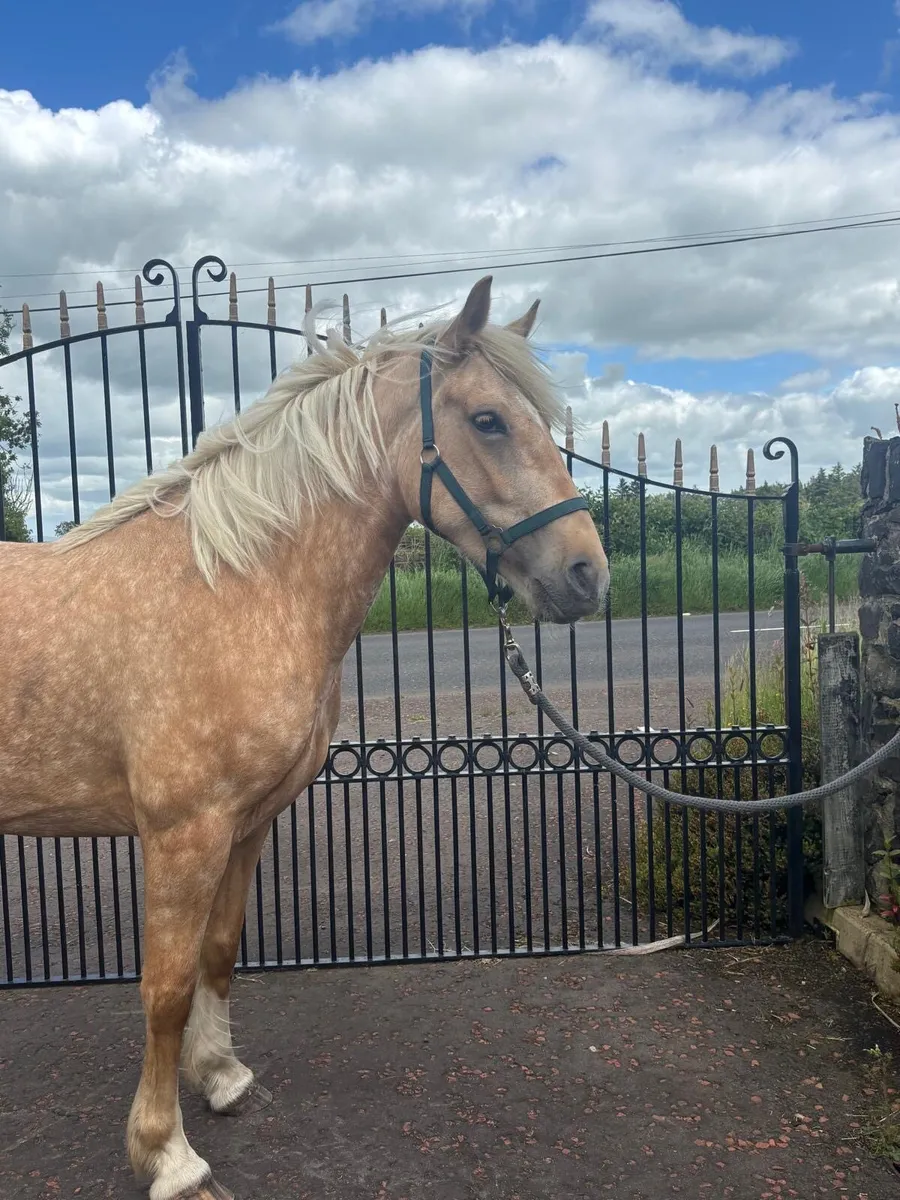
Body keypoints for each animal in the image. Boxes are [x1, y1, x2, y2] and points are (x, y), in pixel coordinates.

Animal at [0, 276, 609, 1200]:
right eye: (489, 420)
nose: (587, 574)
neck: (233, 584)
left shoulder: (247, 825)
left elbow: (219, 954)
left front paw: (221, 1078)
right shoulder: (183, 834)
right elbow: (165, 988)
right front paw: (168, 1154)